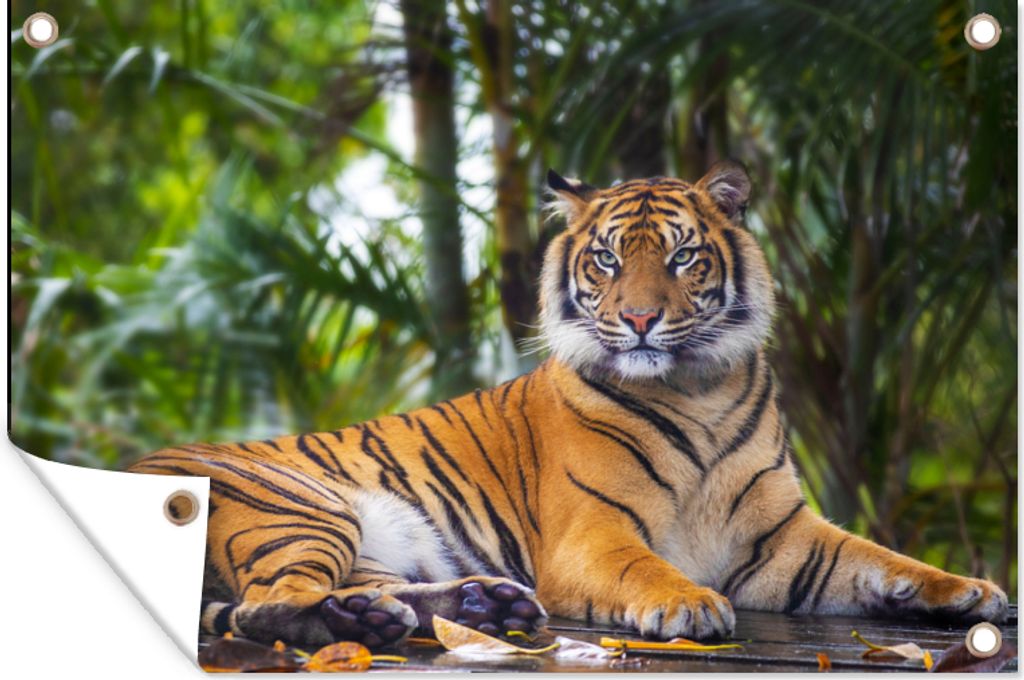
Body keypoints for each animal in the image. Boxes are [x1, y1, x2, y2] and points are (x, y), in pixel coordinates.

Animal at [129, 161, 1008, 649]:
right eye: (608, 260)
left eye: (683, 259)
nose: (641, 319)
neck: (699, 387)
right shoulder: (594, 534)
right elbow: (646, 567)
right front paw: (689, 603)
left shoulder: (784, 537)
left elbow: (882, 559)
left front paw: (969, 590)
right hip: (305, 507)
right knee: (266, 604)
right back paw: (359, 626)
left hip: (372, 543)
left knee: (349, 593)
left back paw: (466, 606)